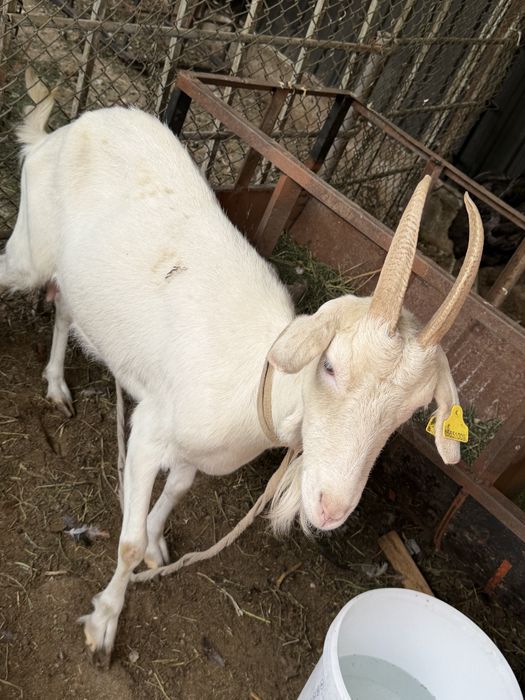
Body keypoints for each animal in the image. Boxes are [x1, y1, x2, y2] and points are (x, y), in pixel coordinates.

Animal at [0, 72, 483, 664]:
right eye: (329, 366)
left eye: (413, 412)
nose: (330, 508)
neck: (254, 381)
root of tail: (59, 134)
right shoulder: (150, 433)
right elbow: (127, 542)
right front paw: (103, 626)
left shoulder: (195, 455)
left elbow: (174, 497)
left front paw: (159, 546)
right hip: (30, 251)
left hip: (75, 280)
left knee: (67, 308)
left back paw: (56, 385)